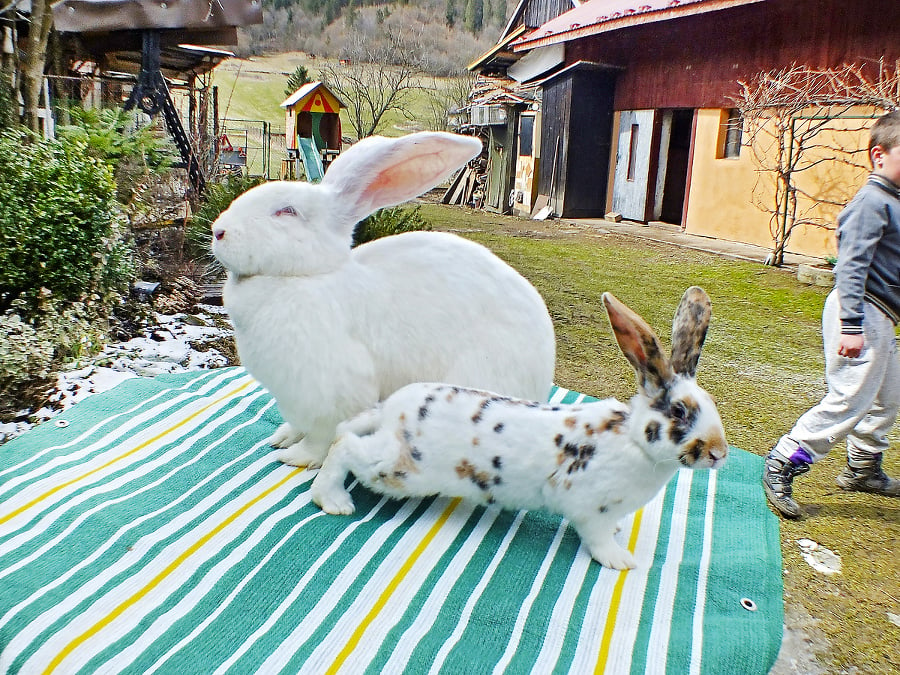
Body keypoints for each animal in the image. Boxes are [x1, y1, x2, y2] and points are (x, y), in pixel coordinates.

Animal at [214, 132, 560, 470]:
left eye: (286, 211)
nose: (218, 231)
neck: (309, 274)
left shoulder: (330, 393)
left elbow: (321, 437)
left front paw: (297, 457)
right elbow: (297, 425)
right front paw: (283, 437)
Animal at [310, 286, 724, 572]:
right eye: (679, 411)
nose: (719, 453)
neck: (633, 440)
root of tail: (394, 409)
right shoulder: (591, 510)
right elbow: (597, 538)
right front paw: (620, 560)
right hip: (400, 470)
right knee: (344, 445)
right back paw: (333, 501)